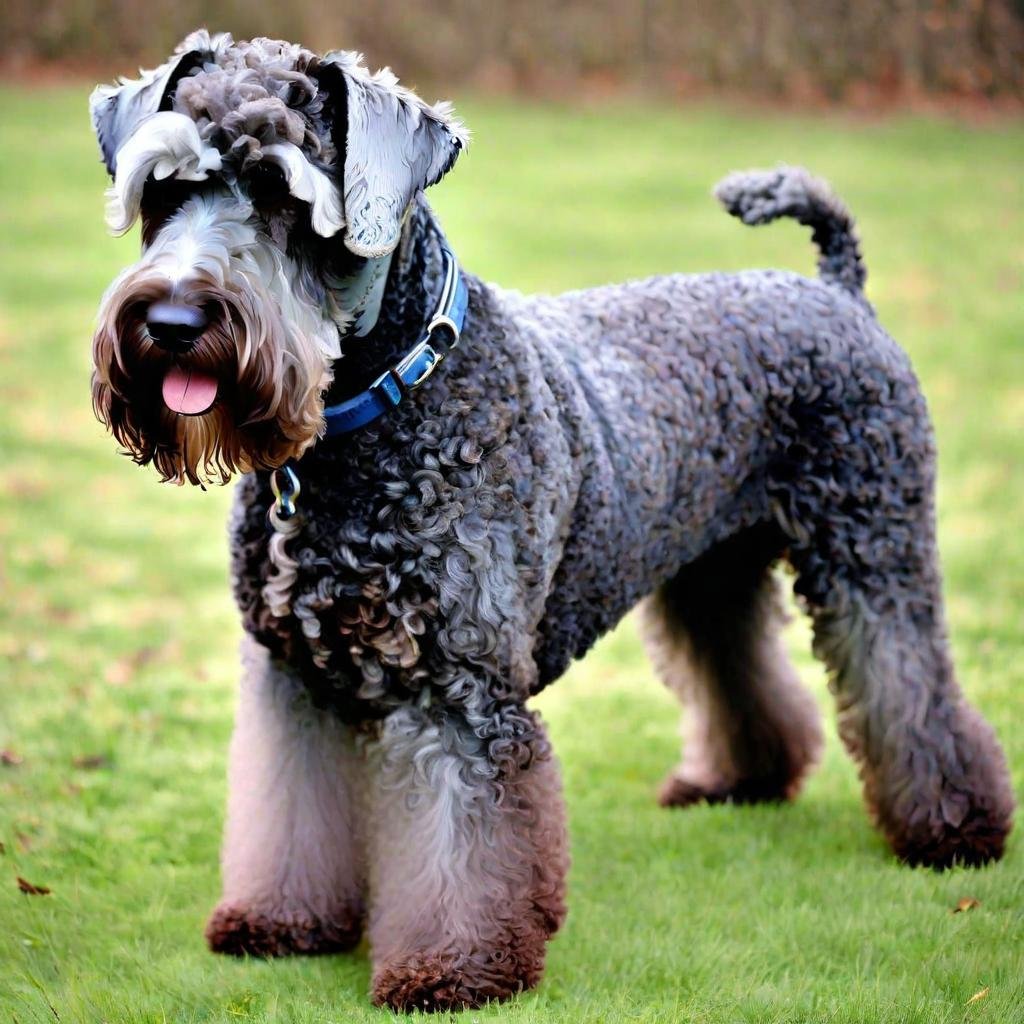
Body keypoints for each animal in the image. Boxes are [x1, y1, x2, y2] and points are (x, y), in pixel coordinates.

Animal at [90, 28, 1015, 1011]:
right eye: (163, 189)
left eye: (283, 195)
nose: (172, 319)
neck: (381, 415)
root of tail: (839, 293)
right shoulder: (294, 677)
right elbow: (289, 815)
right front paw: (281, 922)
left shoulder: (460, 692)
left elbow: (461, 845)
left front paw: (453, 969)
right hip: (710, 574)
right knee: (739, 666)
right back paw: (741, 778)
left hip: (873, 556)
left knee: (909, 681)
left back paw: (954, 827)